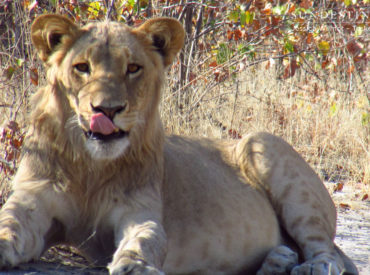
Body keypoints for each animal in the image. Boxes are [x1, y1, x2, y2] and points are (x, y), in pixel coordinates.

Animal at [0, 15, 356, 275]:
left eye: (133, 68)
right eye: (82, 68)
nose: (107, 110)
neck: (91, 166)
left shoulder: (140, 210)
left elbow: (145, 240)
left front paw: (135, 267)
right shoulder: (33, 200)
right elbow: (9, 224)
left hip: (262, 142)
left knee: (328, 252)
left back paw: (310, 267)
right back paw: (278, 261)